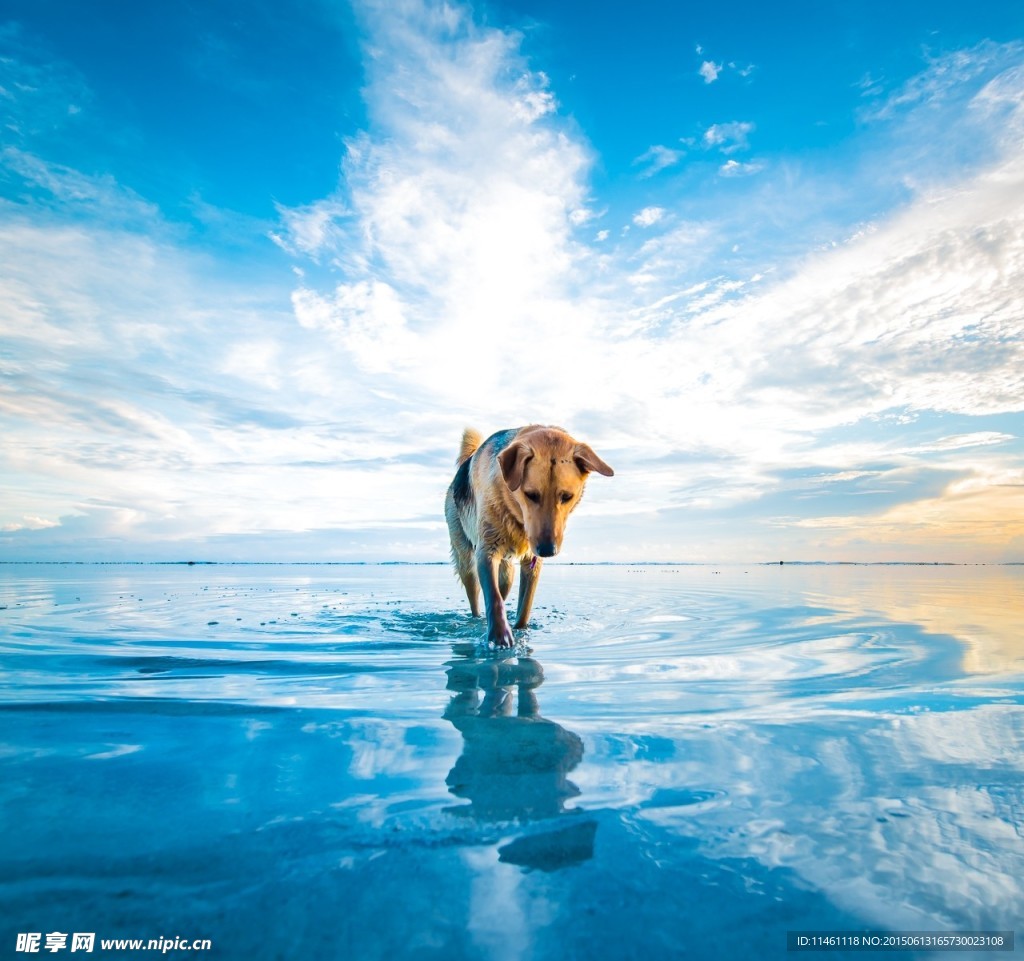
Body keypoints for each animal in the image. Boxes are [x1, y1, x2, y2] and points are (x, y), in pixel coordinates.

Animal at [444, 424, 610, 643]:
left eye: (567, 497)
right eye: (531, 495)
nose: (548, 550)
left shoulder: (532, 563)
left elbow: (524, 606)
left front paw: (520, 631)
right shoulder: (486, 552)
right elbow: (493, 598)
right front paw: (500, 636)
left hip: (507, 573)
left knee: (502, 588)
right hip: (466, 563)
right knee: (476, 599)